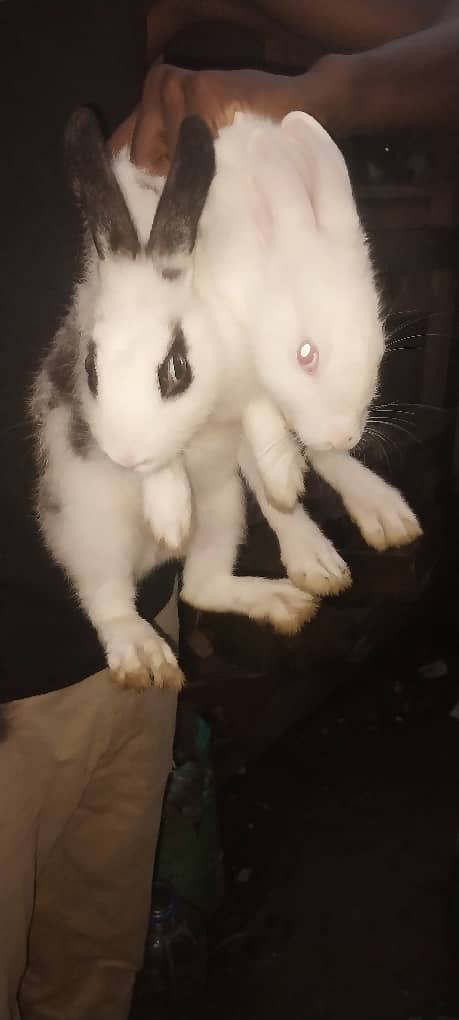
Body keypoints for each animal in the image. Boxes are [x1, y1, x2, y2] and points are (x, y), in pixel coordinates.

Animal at [31, 109, 317, 693]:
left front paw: (284, 480)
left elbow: (262, 412)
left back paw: (281, 603)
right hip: (91, 533)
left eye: (176, 369)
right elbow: (162, 466)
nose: (124, 456)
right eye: (89, 369)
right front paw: (167, 512)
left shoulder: (252, 366)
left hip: (225, 513)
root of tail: (151, 563)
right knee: (109, 603)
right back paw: (146, 656)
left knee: (201, 586)